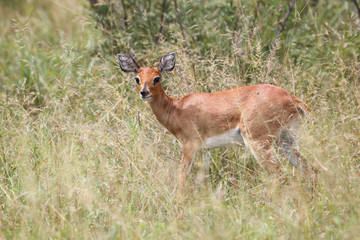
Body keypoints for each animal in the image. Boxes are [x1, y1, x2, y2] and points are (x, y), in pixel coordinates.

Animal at [116, 52, 316, 191]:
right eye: (137, 78)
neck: (176, 108)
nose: (144, 92)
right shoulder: (204, 150)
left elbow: (181, 178)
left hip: (259, 142)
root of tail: (293, 99)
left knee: (281, 175)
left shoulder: (189, 145)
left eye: (156, 78)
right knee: (309, 169)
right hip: (286, 141)